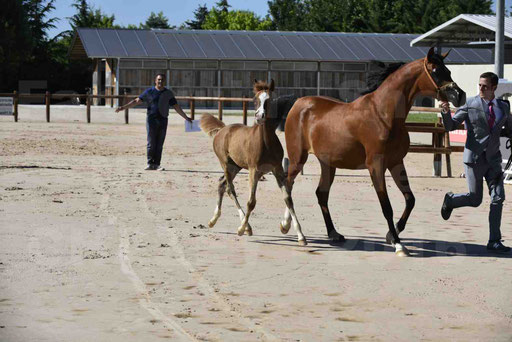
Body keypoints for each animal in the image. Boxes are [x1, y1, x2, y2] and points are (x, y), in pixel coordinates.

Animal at [200, 79, 306, 244]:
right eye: (255, 100)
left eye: (270, 100)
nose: (259, 116)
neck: (265, 142)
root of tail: (222, 129)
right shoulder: (254, 170)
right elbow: (251, 202)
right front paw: (240, 229)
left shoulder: (277, 169)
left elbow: (288, 198)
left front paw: (301, 235)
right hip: (226, 164)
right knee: (230, 188)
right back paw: (245, 227)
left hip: (235, 166)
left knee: (222, 184)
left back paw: (214, 220)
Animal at [286, 48, 466, 256]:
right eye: (436, 70)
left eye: (449, 70)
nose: (460, 95)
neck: (384, 115)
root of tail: (298, 103)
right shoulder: (376, 166)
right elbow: (387, 207)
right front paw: (398, 245)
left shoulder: (396, 163)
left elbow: (410, 199)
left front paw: (392, 234)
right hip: (298, 159)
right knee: (287, 187)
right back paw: (296, 232)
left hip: (328, 164)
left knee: (320, 194)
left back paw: (332, 233)